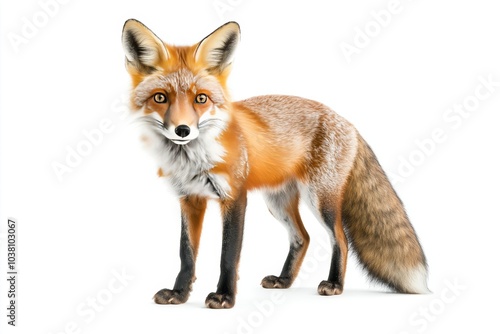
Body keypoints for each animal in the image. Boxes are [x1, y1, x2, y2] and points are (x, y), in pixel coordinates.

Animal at [122, 19, 430, 310]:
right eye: (160, 97)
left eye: (201, 99)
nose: (183, 130)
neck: (194, 158)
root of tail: (348, 122)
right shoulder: (190, 199)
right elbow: (186, 255)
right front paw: (179, 294)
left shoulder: (234, 197)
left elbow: (228, 256)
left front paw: (224, 297)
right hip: (278, 202)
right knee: (302, 238)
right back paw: (285, 280)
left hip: (320, 200)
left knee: (340, 239)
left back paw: (334, 284)